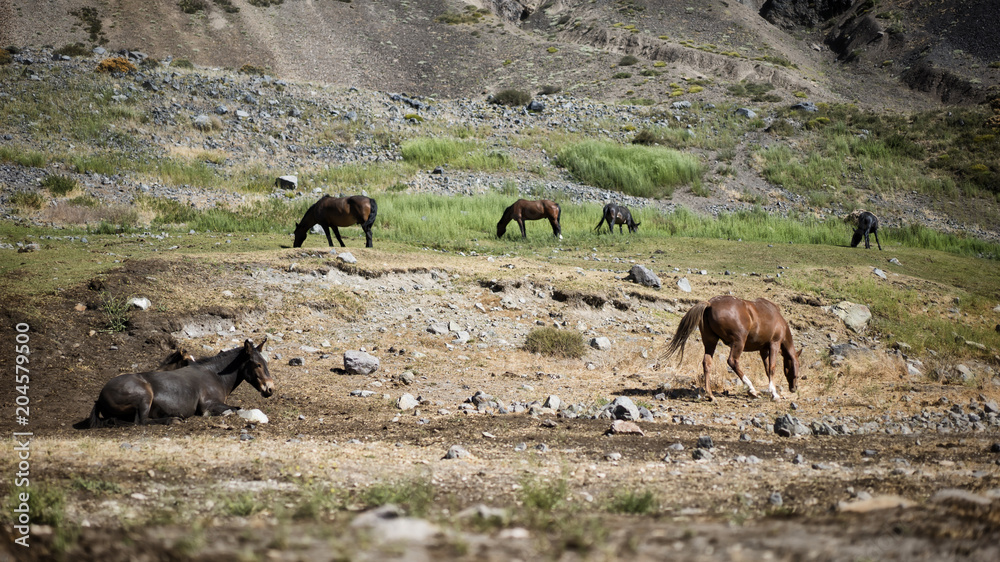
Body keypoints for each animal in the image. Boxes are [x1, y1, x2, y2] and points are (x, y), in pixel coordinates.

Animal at [73, 339, 274, 429]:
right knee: (141, 421)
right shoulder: (208, 405)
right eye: (257, 364)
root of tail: (100, 397)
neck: (214, 376)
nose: (270, 389)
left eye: (265, 362)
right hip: (144, 398)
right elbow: (235, 409)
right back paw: (173, 419)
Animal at [661, 296, 802, 401]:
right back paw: (751, 390)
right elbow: (772, 368)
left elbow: (767, 369)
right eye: (796, 366)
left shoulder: (763, 349)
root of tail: (709, 304)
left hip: (710, 342)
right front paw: (774, 394)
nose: (794, 388)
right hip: (738, 342)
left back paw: (710, 395)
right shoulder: (774, 344)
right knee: (733, 361)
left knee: (707, 363)